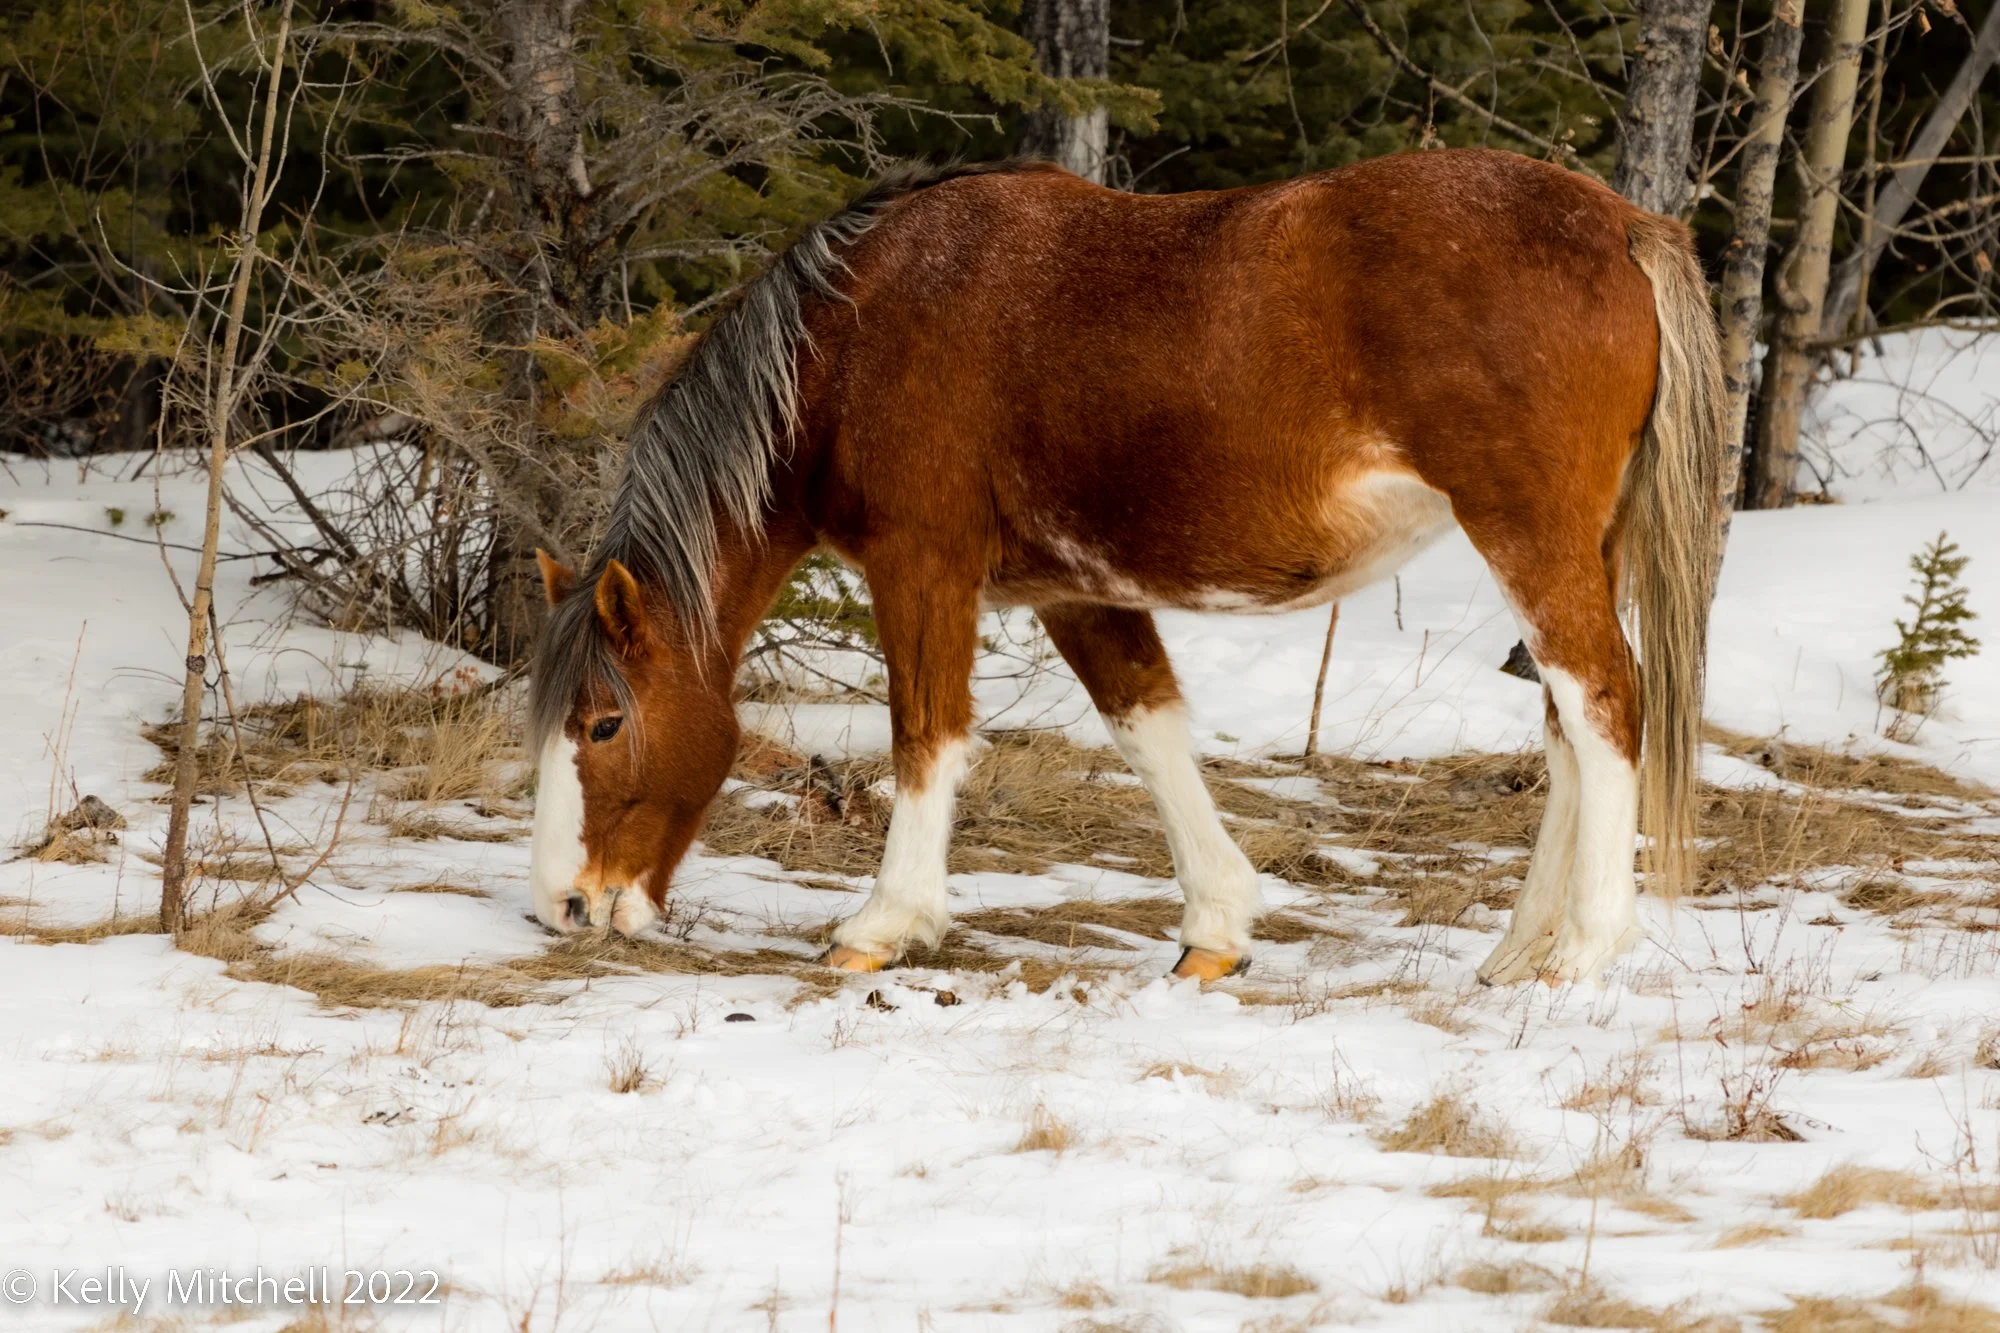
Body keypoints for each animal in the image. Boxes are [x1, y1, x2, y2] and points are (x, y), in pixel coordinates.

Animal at [526, 149, 1725, 986]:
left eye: (604, 722)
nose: (564, 908)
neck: (854, 332)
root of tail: (1621, 222)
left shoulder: (921, 568)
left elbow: (925, 737)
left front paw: (882, 923)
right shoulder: (1075, 591)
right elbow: (1148, 730)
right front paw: (1215, 927)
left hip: (1526, 533)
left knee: (1605, 702)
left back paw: (1584, 949)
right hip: (1577, 546)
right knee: (1567, 725)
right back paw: (1518, 950)